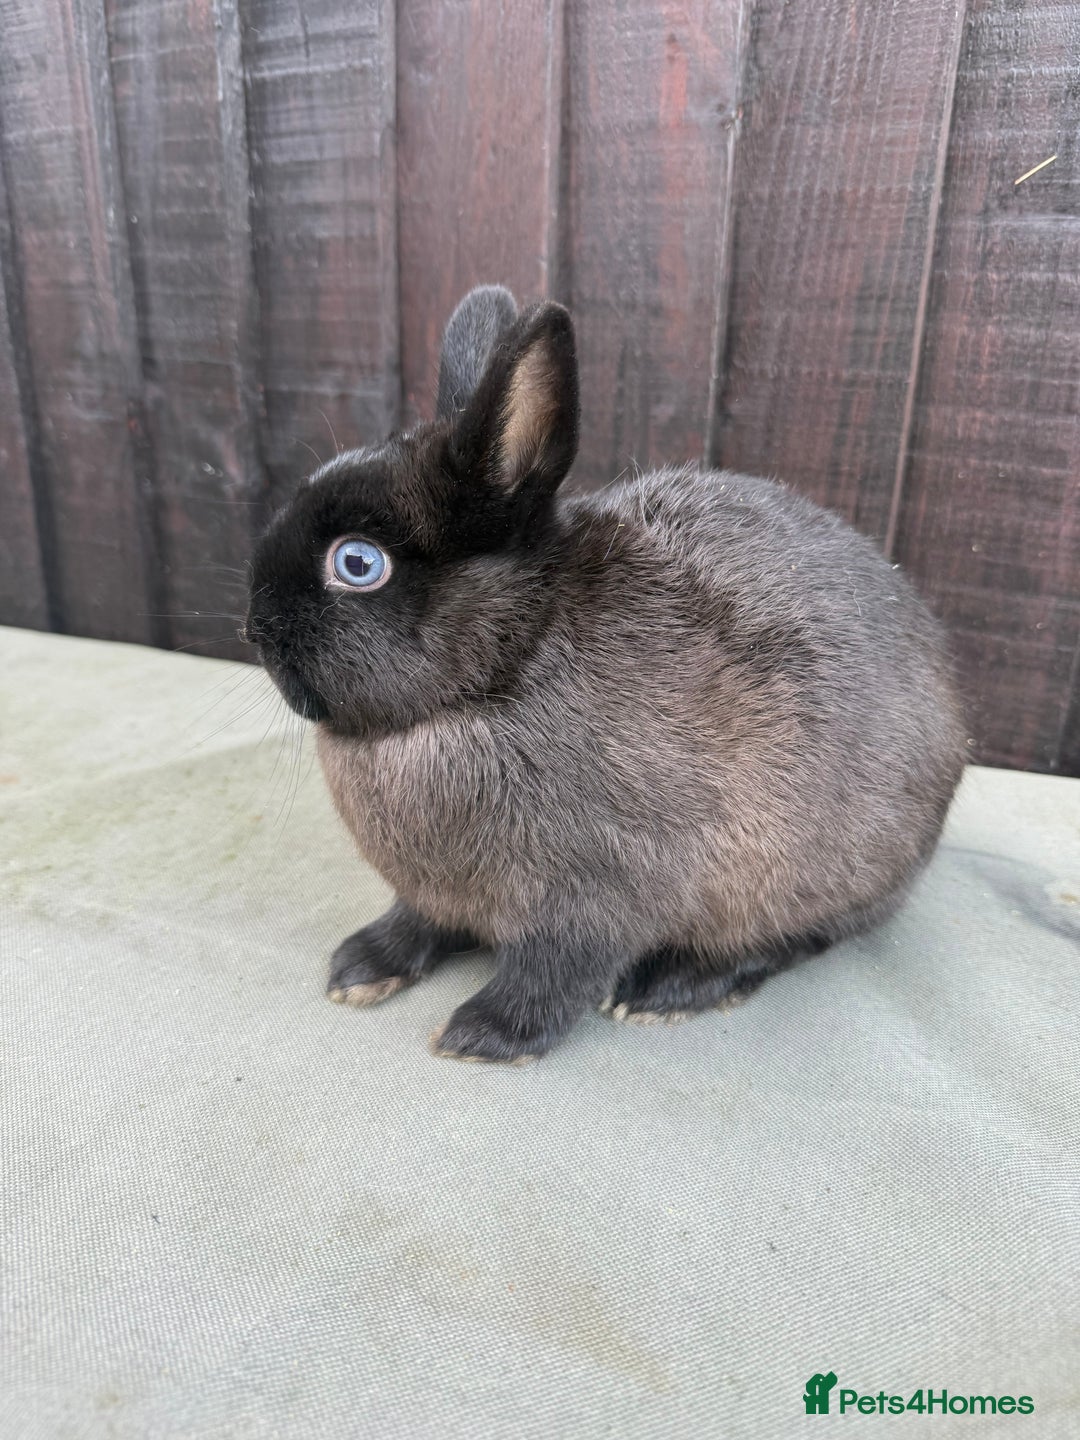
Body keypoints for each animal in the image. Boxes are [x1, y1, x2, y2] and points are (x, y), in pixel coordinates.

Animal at [246, 284, 966, 1064]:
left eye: (357, 563)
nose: (252, 630)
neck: (503, 670)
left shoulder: (598, 895)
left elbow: (558, 969)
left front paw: (484, 1035)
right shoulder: (436, 893)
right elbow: (417, 921)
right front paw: (362, 968)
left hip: (823, 879)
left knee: (793, 940)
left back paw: (669, 990)